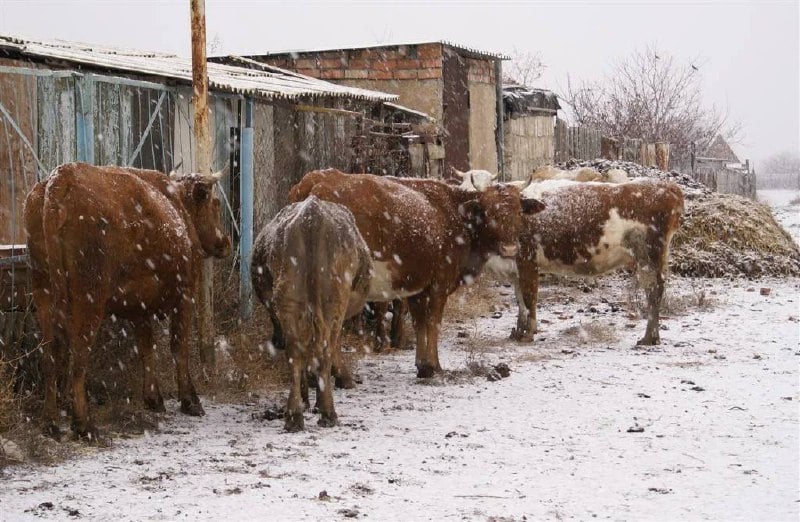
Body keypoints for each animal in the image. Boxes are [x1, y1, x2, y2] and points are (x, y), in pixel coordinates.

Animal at [24, 162, 231, 438]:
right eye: (215, 203)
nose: (226, 242)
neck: (178, 206)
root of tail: (62, 176)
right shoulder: (185, 296)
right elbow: (179, 347)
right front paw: (190, 400)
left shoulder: (138, 308)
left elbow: (145, 346)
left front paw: (153, 398)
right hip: (90, 299)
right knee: (78, 356)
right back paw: (84, 424)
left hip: (44, 293)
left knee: (50, 354)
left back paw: (50, 421)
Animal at [250, 196, 372, 430]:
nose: (276, 340)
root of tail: (312, 219)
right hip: (333, 302)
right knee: (322, 350)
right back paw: (326, 412)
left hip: (289, 301)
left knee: (296, 353)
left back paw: (295, 416)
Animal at [288, 169, 544, 376]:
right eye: (489, 212)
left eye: (519, 211)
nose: (510, 249)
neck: (454, 214)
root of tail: (316, 182)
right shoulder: (439, 283)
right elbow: (432, 321)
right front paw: (434, 365)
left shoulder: (415, 286)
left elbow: (420, 321)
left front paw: (423, 364)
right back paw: (340, 375)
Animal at [478, 177, 684, 344]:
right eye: (488, 211)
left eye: (518, 212)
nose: (508, 246)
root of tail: (667, 186)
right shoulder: (514, 269)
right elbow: (519, 299)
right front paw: (518, 333)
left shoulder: (527, 261)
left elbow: (529, 299)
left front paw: (528, 334)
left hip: (648, 256)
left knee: (653, 290)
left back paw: (649, 338)